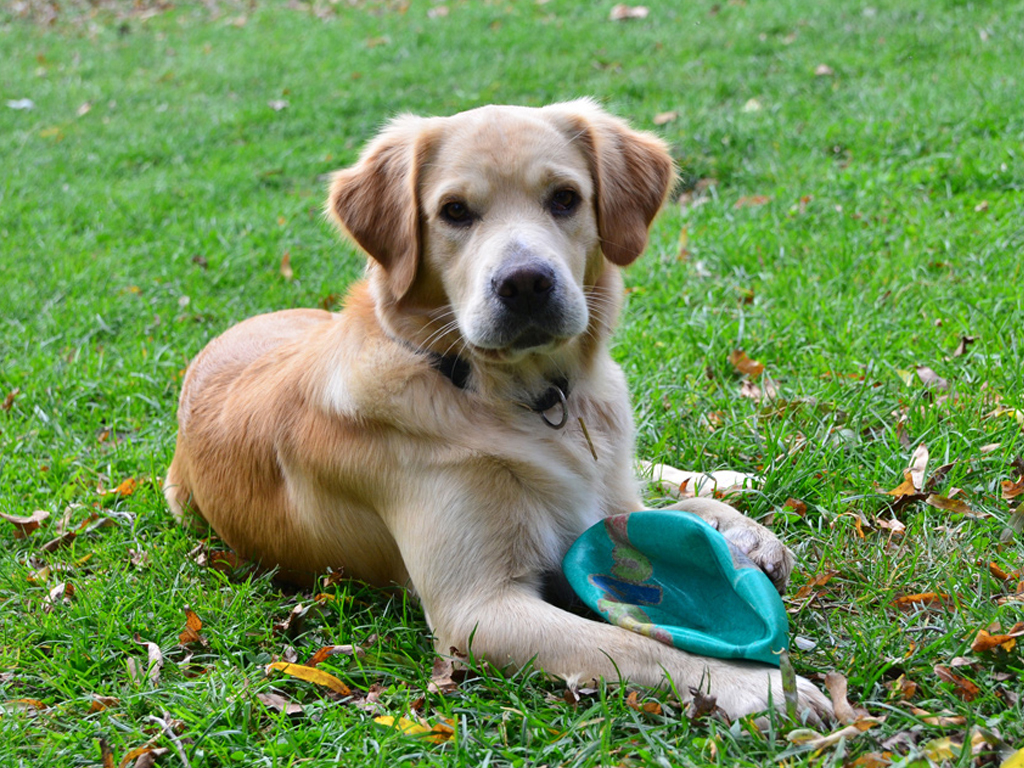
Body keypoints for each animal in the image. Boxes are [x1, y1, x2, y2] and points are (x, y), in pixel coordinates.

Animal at [165, 99, 831, 724]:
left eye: (565, 198)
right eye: (455, 211)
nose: (526, 283)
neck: (516, 395)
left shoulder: (595, 499)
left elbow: (657, 510)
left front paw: (745, 529)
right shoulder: (479, 609)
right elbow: (636, 644)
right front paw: (760, 686)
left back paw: (729, 482)